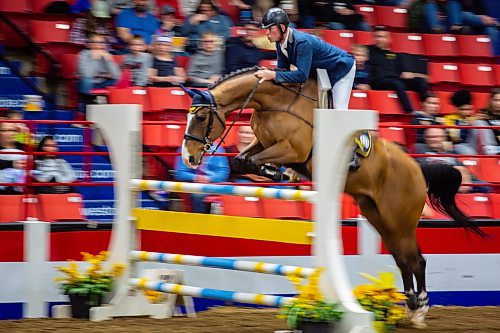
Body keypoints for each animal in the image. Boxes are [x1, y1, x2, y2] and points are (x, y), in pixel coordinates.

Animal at [178, 66, 482, 326]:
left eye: (201, 117)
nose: (189, 158)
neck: (275, 102)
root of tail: (417, 168)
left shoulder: (293, 149)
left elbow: (253, 161)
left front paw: (279, 173)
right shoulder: (263, 143)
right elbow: (242, 161)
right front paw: (277, 173)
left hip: (400, 221)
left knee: (416, 260)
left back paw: (420, 310)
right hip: (379, 217)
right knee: (402, 259)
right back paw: (408, 308)